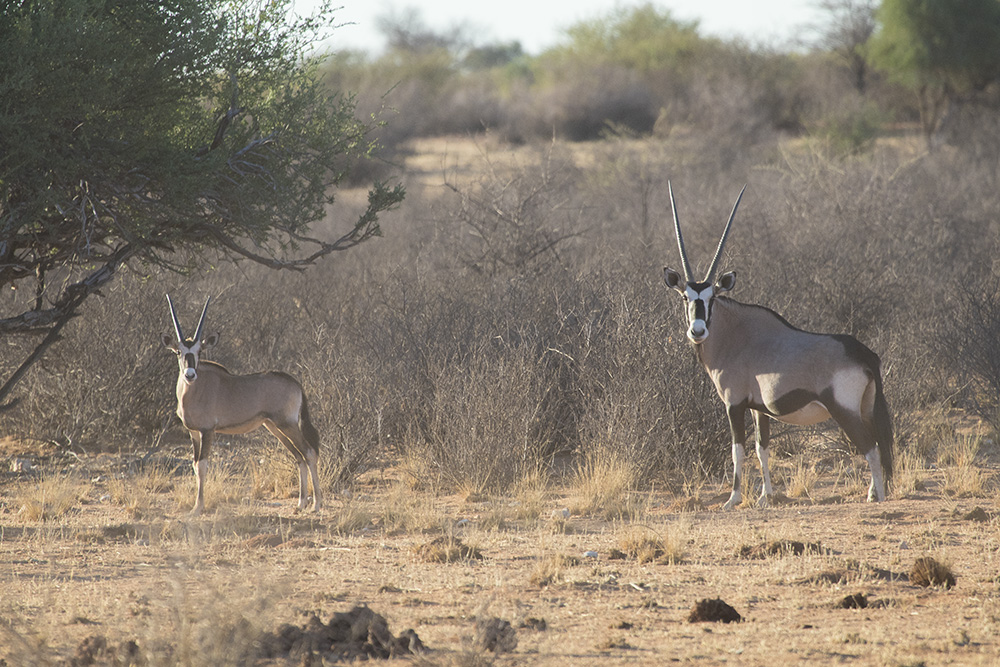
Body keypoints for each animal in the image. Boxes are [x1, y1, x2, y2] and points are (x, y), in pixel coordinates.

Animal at [162, 296, 322, 516]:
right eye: (179, 352)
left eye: (199, 351)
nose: (190, 375)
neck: (194, 391)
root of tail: (296, 383)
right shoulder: (193, 432)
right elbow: (195, 465)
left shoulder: (208, 430)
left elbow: (202, 466)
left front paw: (198, 507)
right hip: (275, 427)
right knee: (299, 456)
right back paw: (301, 503)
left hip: (287, 425)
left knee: (309, 453)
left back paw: (316, 504)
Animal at [664, 185, 892, 508]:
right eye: (686, 297)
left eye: (711, 298)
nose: (698, 330)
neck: (735, 336)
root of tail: (864, 354)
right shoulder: (758, 409)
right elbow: (763, 449)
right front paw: (765, 496)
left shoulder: (733, 404)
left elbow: (737, 450)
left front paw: (733, 499)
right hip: (866, 407)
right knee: (877, 443)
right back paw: (873, 492)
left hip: (844, 410)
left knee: (870, 447)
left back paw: (878, 497)